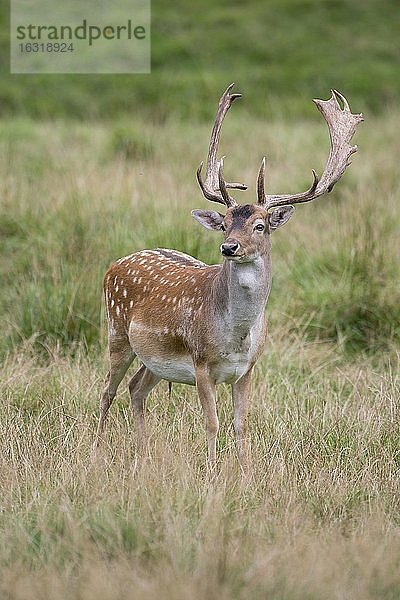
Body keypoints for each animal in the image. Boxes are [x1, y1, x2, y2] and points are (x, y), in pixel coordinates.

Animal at [96, 84, 362, 466]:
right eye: (224, 224)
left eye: (260, 225)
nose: (229, 247)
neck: (235, 337)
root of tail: (115, 264)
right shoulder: (201, 362)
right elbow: (212, 423)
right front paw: (210, 471)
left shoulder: (248, 368)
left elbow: (241, 424)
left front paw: (245, 471)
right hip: (117, 332)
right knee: (107, 391)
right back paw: (95, 450)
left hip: (154, 359)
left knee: (135, 388)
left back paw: (143, 455)